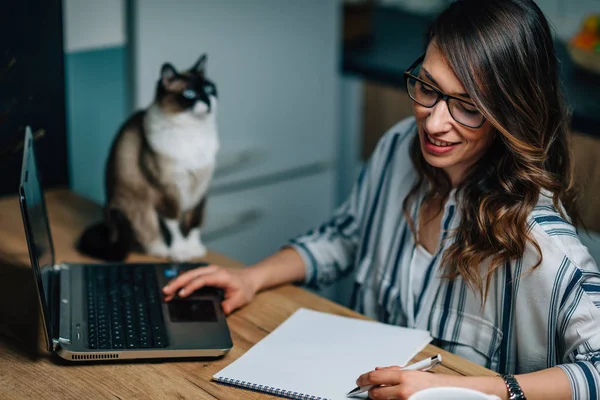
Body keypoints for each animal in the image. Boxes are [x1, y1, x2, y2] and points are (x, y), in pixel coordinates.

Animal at [78, 54, 219, 262]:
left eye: (209, 89)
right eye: (190, 94)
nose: (208, 101)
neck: (193, 132)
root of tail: (108, 228)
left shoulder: (200, 190)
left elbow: (194, 223)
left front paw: (195, 249)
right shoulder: (167, 191)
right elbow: (175, 226)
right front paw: (181, 252)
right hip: (138, 209)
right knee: (148, 237)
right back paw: (163, 250)